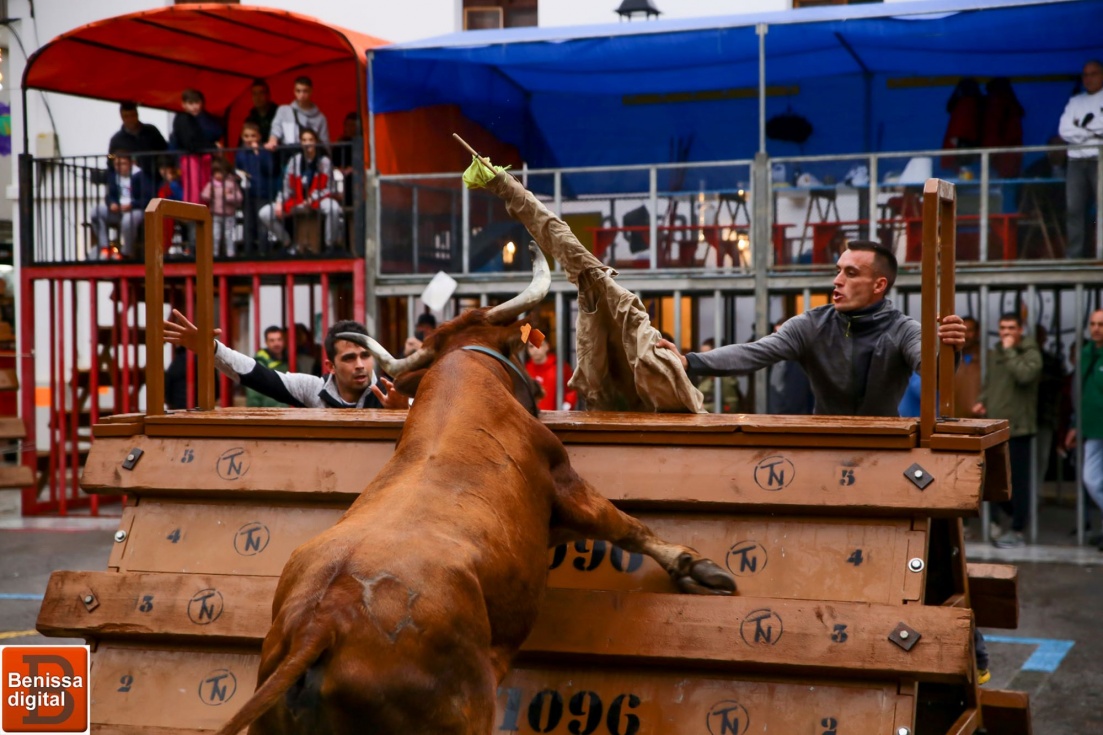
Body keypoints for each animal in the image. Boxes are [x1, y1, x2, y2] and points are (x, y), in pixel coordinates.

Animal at [212, 242, 732, 728]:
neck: (462, 386)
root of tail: (322, 623)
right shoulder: (566, 488)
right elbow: (626, 526)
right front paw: (698, 567)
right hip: (464, 710)